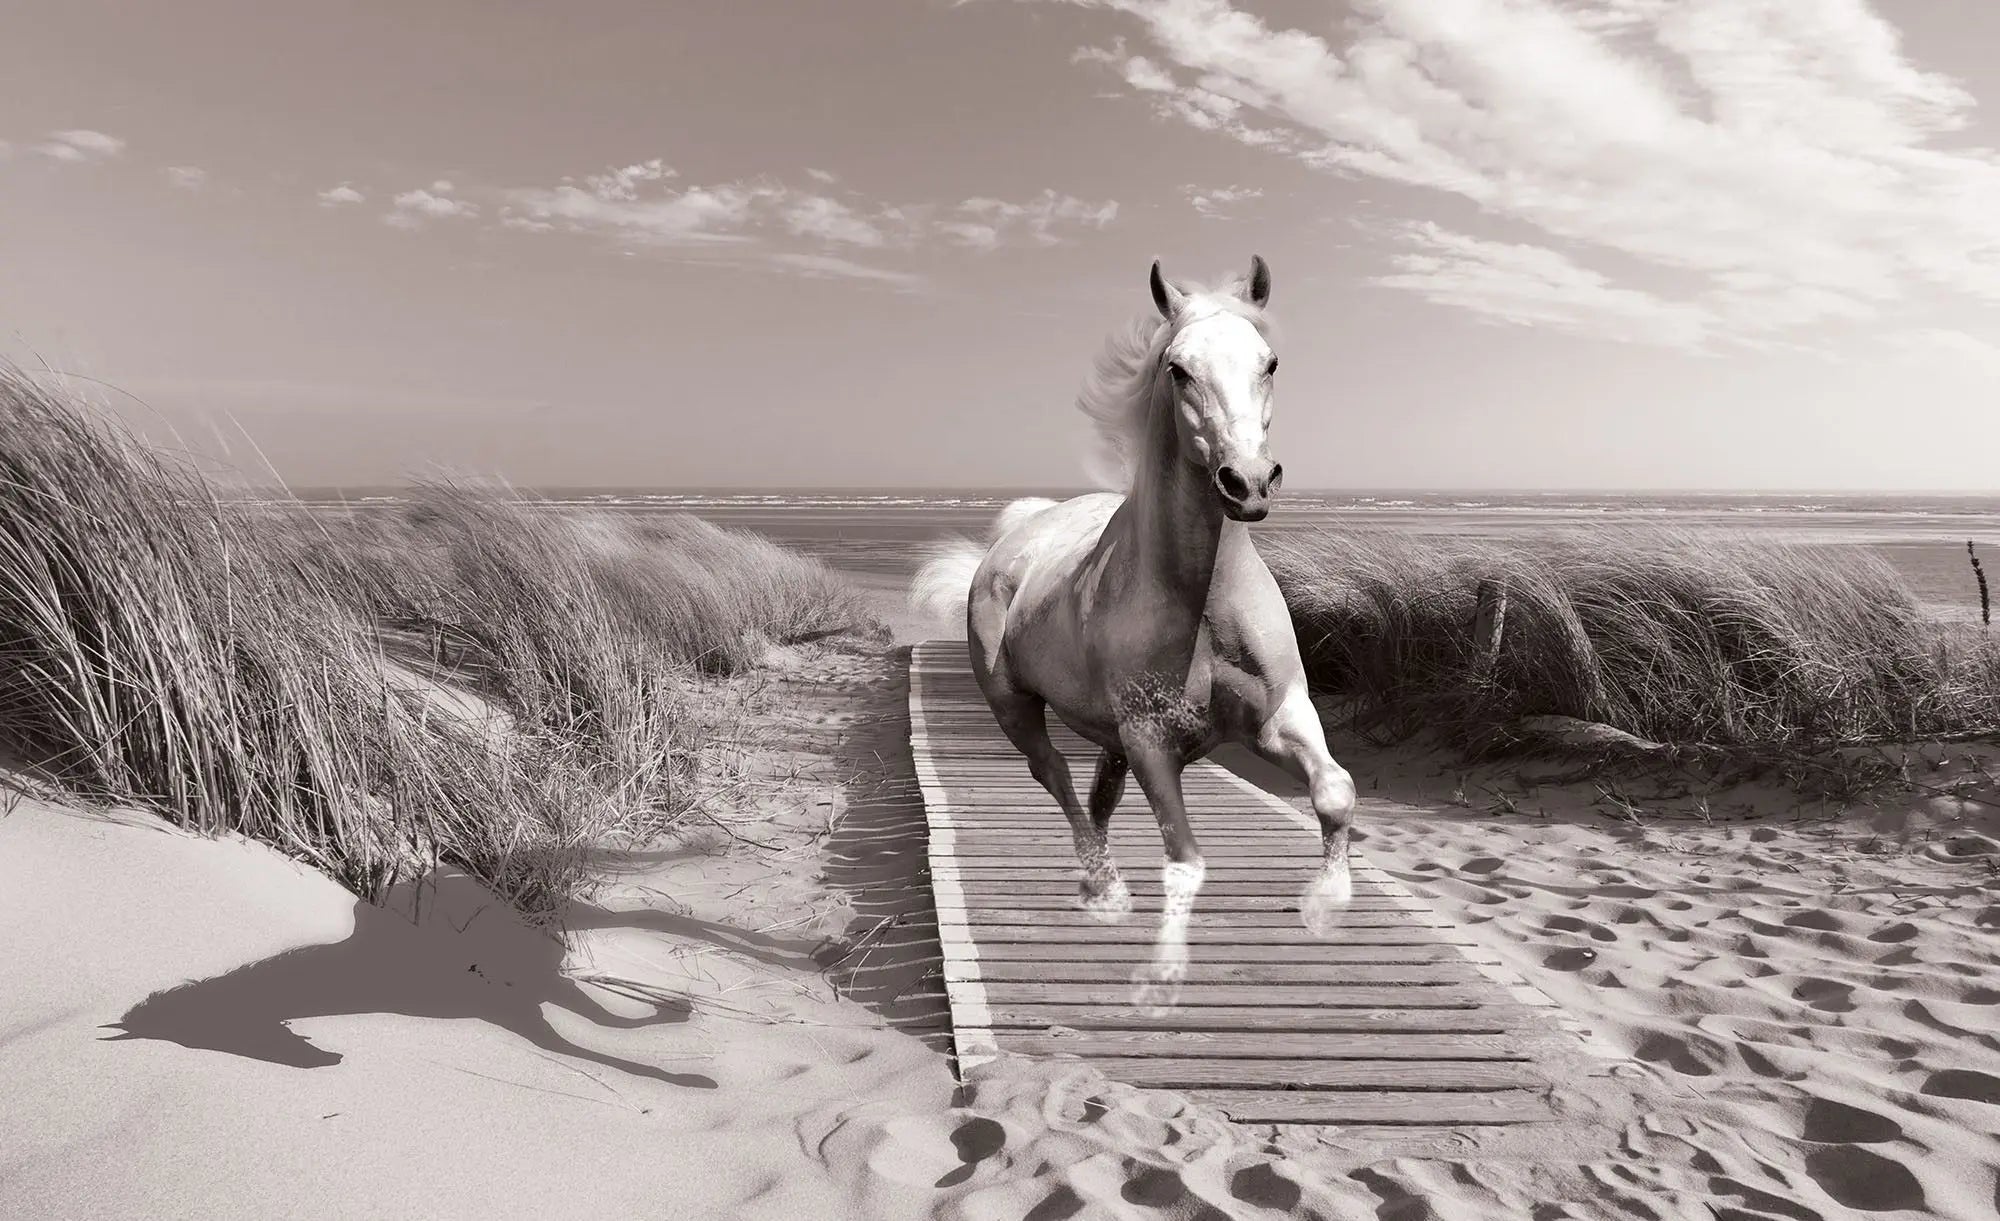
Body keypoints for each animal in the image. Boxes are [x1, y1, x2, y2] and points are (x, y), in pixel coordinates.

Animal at [916, 252, 1360, 1004]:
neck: (1202, 600)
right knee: (1055, 776)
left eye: (1270, 361)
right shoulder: (1153, 743)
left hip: (1109, 735)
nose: (1247, 482)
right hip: (1015, 708)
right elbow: (1185, 858)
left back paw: (1098, 882)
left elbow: (1335, 791)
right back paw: (1105, 887)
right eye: (1178, 368)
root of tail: (1015, 538)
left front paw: (1325, 904)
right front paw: (1163, 976)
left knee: (1099, 794)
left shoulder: (1281, 717)